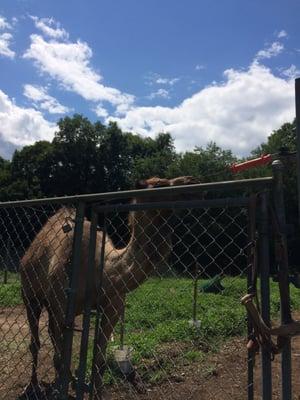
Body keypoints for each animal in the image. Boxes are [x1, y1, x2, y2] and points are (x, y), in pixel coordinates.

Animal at [19, 177, 200, 398]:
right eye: (160, 184)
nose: (192, 182)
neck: (102, 268)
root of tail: (27, 255)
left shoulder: (112, 308)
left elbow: (99, 360)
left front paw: (93, 391)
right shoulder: (62, 304)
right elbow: (63, 355)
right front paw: (60, 388)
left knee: (52, 335)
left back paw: (64, 381)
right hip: (30, 295)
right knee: (36, 342)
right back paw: (33, 385)